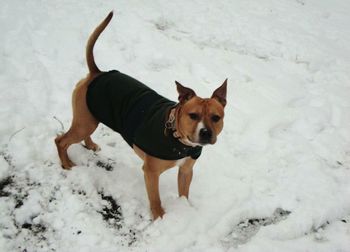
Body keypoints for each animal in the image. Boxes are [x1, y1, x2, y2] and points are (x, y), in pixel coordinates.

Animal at [54, 11, 227, 220]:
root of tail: (98, 73)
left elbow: (184, 193)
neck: (177, 138)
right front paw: (160, 217)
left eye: (216, 118)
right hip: (84, 122)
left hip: (90, 117)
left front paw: (184, 209)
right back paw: (66, 164)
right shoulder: (151, 173)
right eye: (193, 115)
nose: (206, 133)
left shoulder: (186, 171)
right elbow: (155, 199)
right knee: (60, 141)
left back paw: (90, 145)